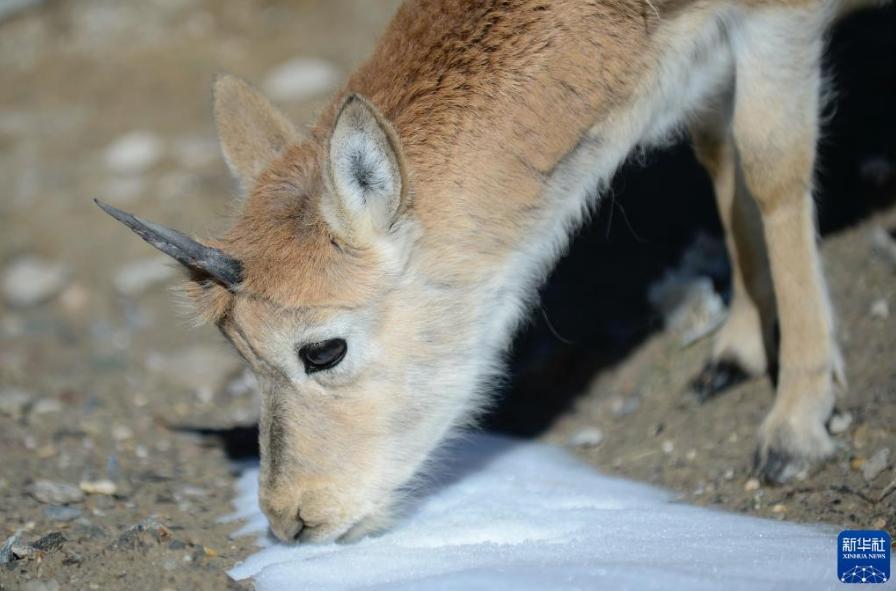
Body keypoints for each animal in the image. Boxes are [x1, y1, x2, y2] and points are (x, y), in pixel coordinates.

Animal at [98, 0, 885, 543]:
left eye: (323, 349)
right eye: (239, 352)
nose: (292, 517)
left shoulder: (779, 18)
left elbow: (771, 162)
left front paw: (796, 426)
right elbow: (719, 151)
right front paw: (739, 348)